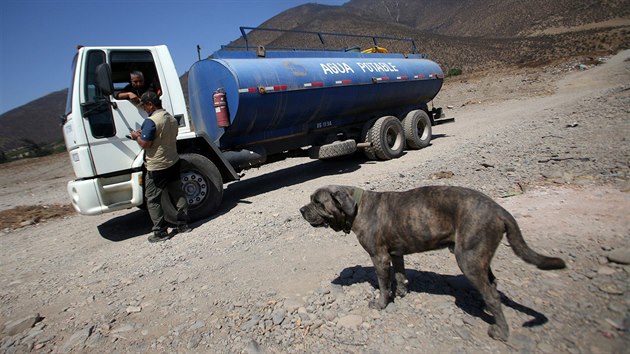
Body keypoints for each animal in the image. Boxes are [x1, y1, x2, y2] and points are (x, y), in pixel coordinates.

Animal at [302, 185, 568, 340]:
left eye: (317, 202)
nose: (301, 210)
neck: (357, 207)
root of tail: (500, 209)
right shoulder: (396, 254)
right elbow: (400, 275)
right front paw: (402, 292)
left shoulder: (380, 257)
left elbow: (383, 285)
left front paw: (381, 303)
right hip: (479, 259)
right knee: (493, 287)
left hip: (468, 260)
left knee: (492, 296)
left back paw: (500, 332)